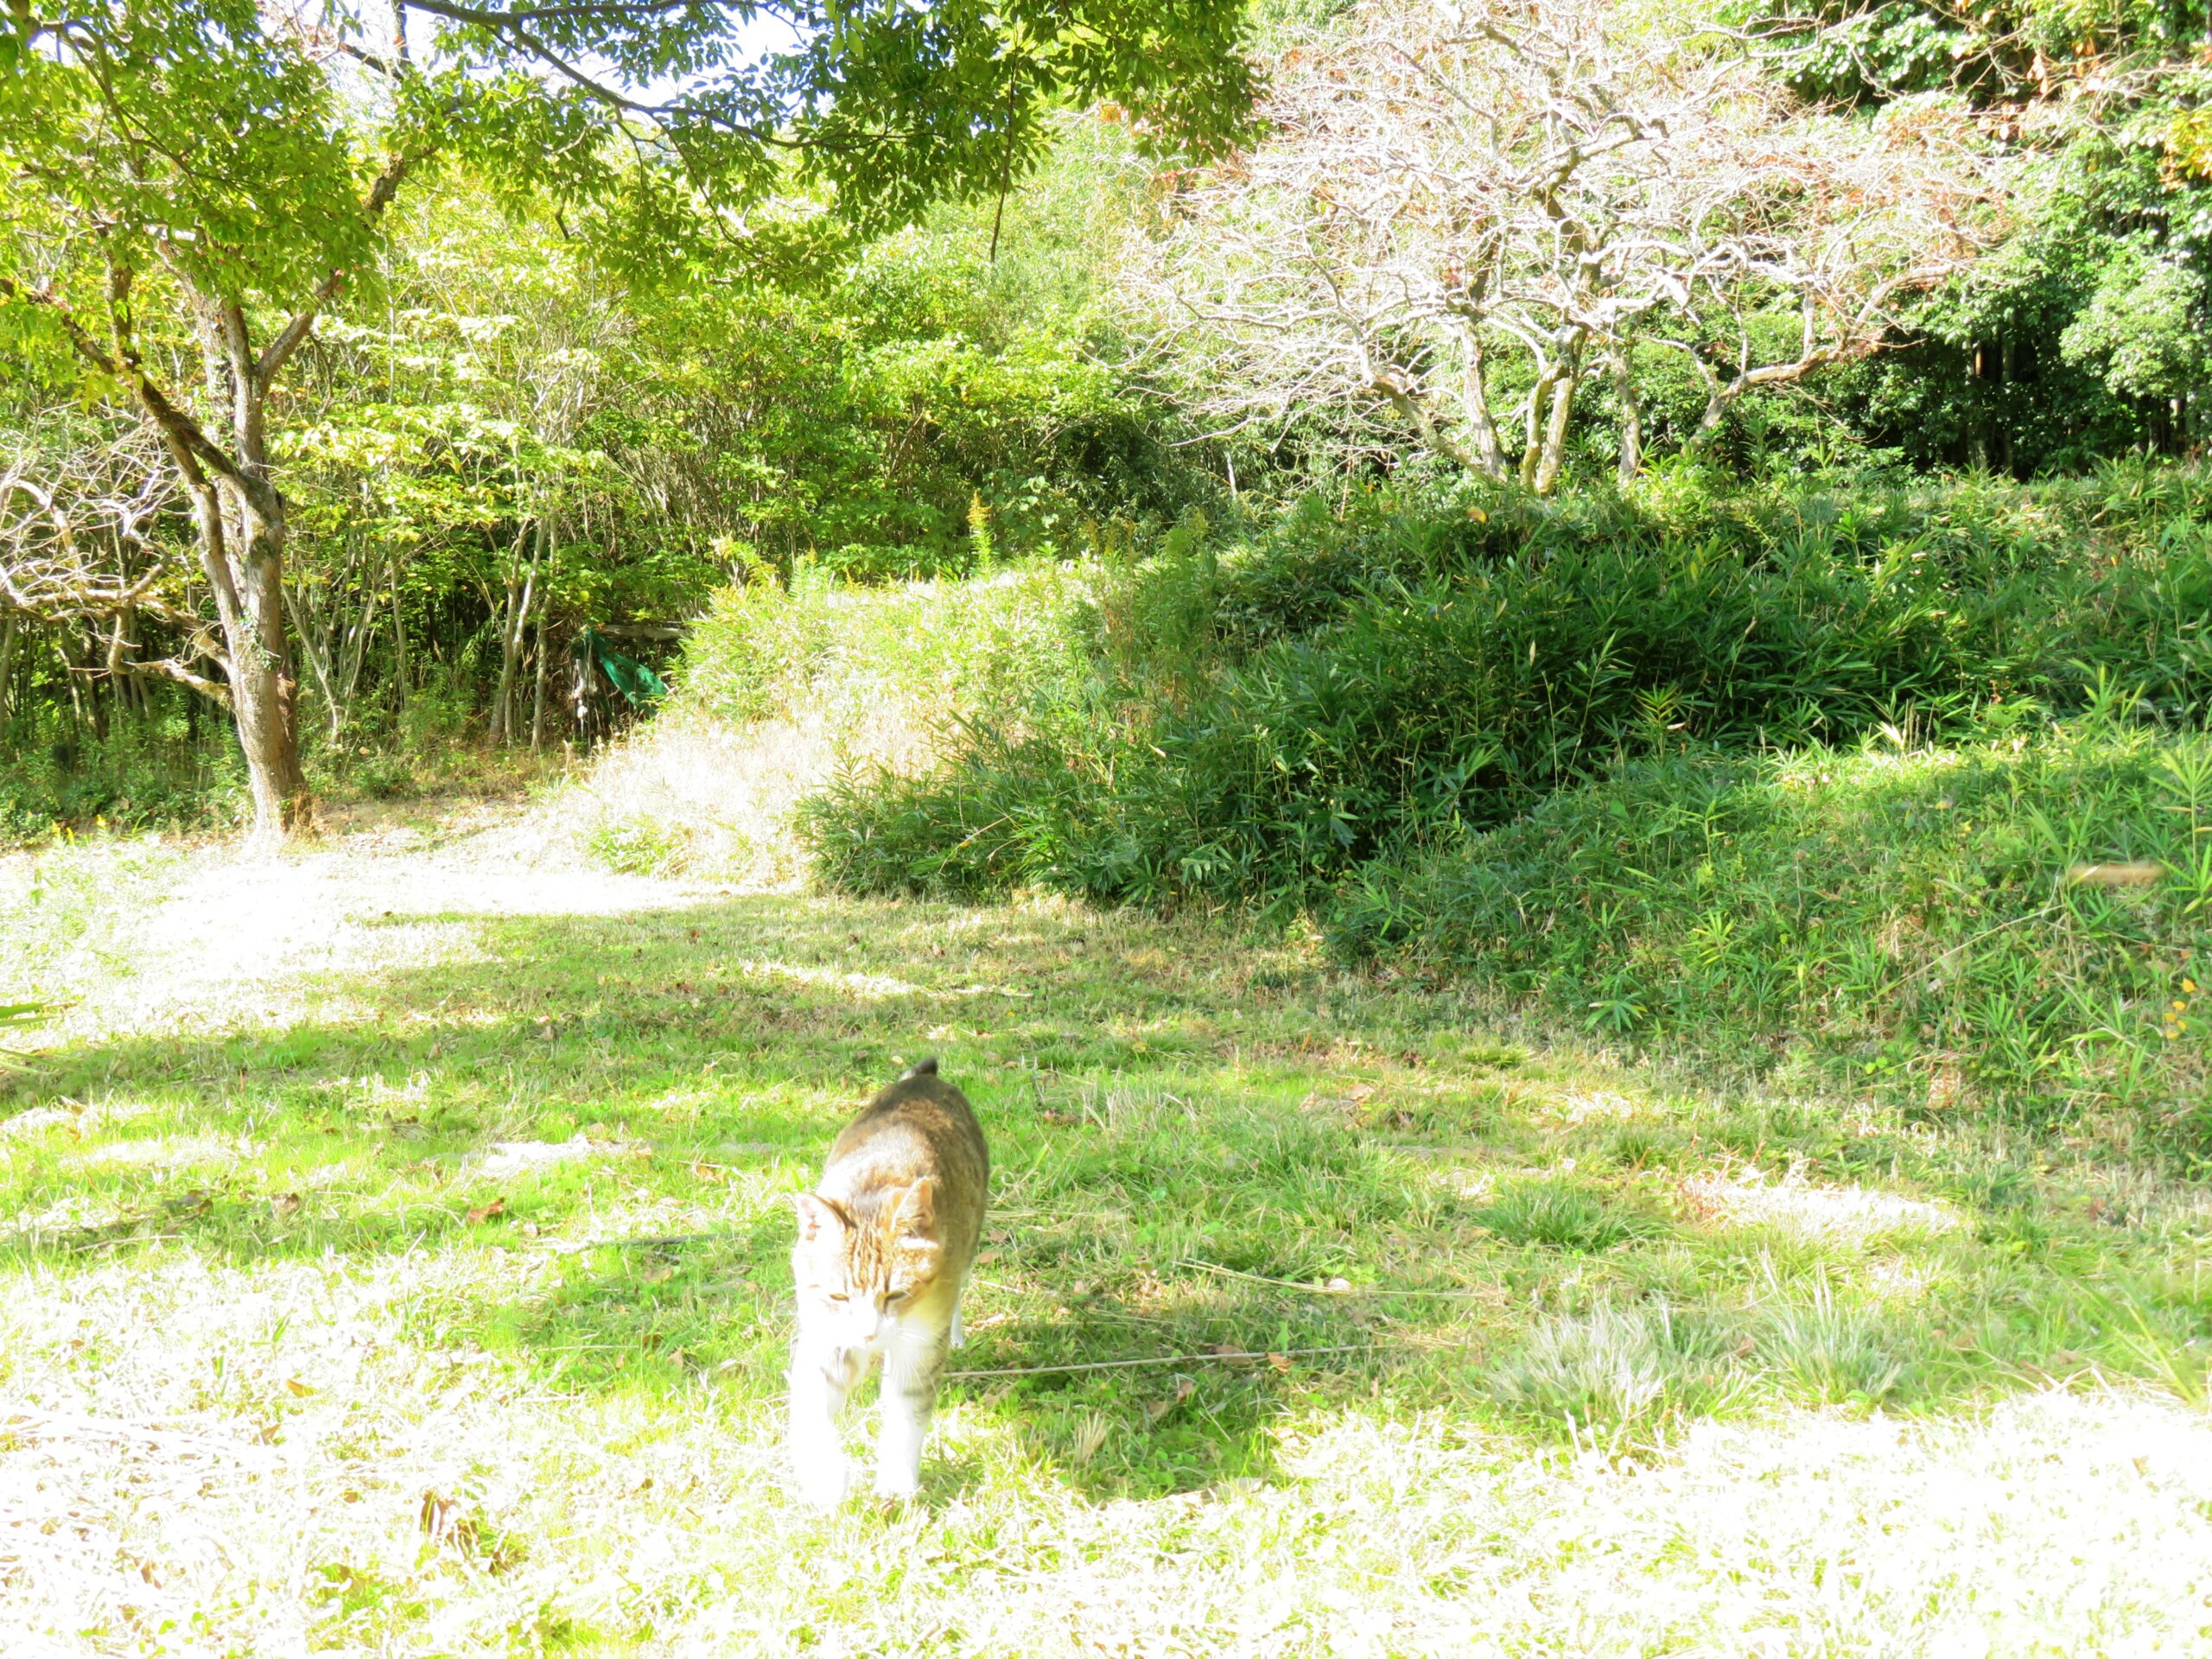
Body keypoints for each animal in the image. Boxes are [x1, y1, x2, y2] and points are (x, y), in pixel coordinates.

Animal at [783, 1057, 982, 1513]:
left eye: (898, 1294)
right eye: (838, 1295)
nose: (869, 1334)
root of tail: (924, 1080)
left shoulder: (920, 1343)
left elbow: (906, 1414)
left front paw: (896, 1484)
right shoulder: (827, 1335)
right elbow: (811, 1404)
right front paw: (826, 1478)